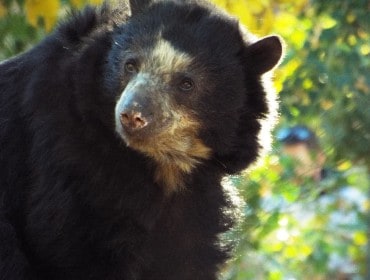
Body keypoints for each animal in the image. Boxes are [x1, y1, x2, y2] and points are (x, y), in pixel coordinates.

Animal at [0, 0, 284, 278]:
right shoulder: (70, 152)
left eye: (187, 83)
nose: (132, 115)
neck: (162, 162)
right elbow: (72, 242)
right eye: (130, 65)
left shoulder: (197, 195)